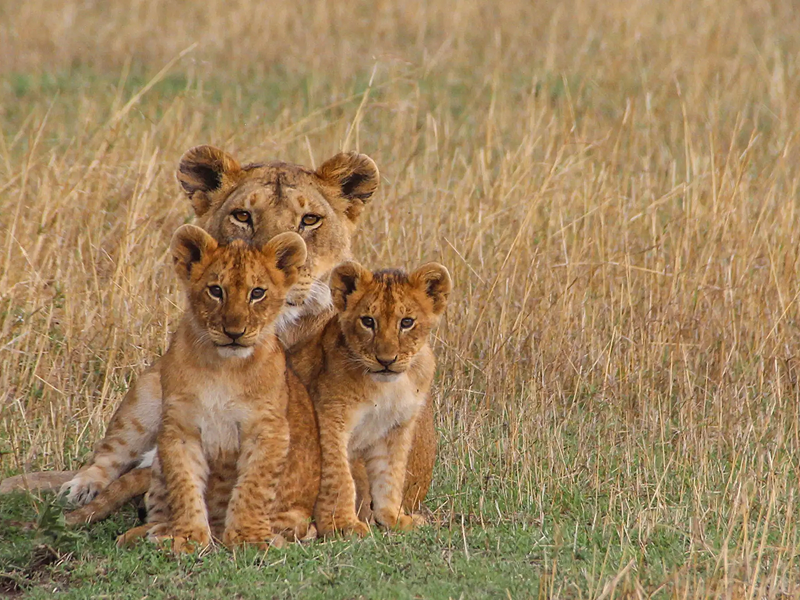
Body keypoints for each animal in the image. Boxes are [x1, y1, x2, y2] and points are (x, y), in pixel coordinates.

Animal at [289, 261, 451, 537]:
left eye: (406, 322)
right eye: (367, 321)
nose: (386, 360)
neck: (388, 388)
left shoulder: (395, 428)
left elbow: (391, 475)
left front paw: (392, 519)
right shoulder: (330, 421)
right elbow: (339, 476)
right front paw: (342, 525)